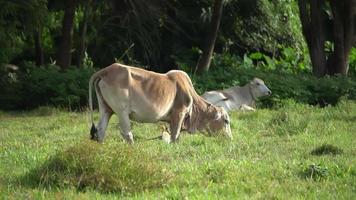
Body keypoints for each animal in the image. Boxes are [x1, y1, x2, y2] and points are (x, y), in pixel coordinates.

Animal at [88, 63, 232, 143]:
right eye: (226, 121)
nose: (230, 139)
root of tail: (107, 70)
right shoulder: (179, 113)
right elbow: (175, 136)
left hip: (106, 109)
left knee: (100, 131)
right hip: (122, 112)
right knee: (127, 134)